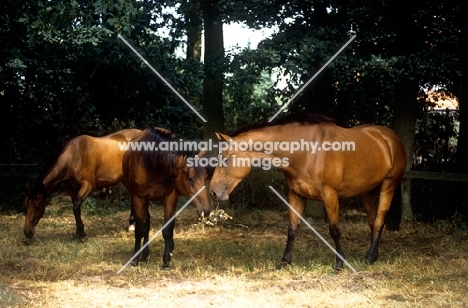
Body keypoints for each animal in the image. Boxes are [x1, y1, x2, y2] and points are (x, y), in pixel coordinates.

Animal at [121, 126, 211, 268]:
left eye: (205, 176)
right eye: (190, 178)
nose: (206, 209)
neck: (153, 165)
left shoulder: (170, 197)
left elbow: (167, 229)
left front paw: (166, 260)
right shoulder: (138, 198)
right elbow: (140, 229)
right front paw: (135, 259)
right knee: (145, 224)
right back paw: (143, 255)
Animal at [209, 115, 406, 270]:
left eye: (226, 159)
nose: (213, 193)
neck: (307, 152)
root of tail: (390, 137)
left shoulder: (330, 196)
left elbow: (334, 230)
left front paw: (340, 263)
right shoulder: (296, 195)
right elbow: (292, 229)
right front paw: (284, 262)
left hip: (389, 185)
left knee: (379, 220)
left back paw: (369, 257)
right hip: (366, 192)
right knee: (373, 221)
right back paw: (373, 256)